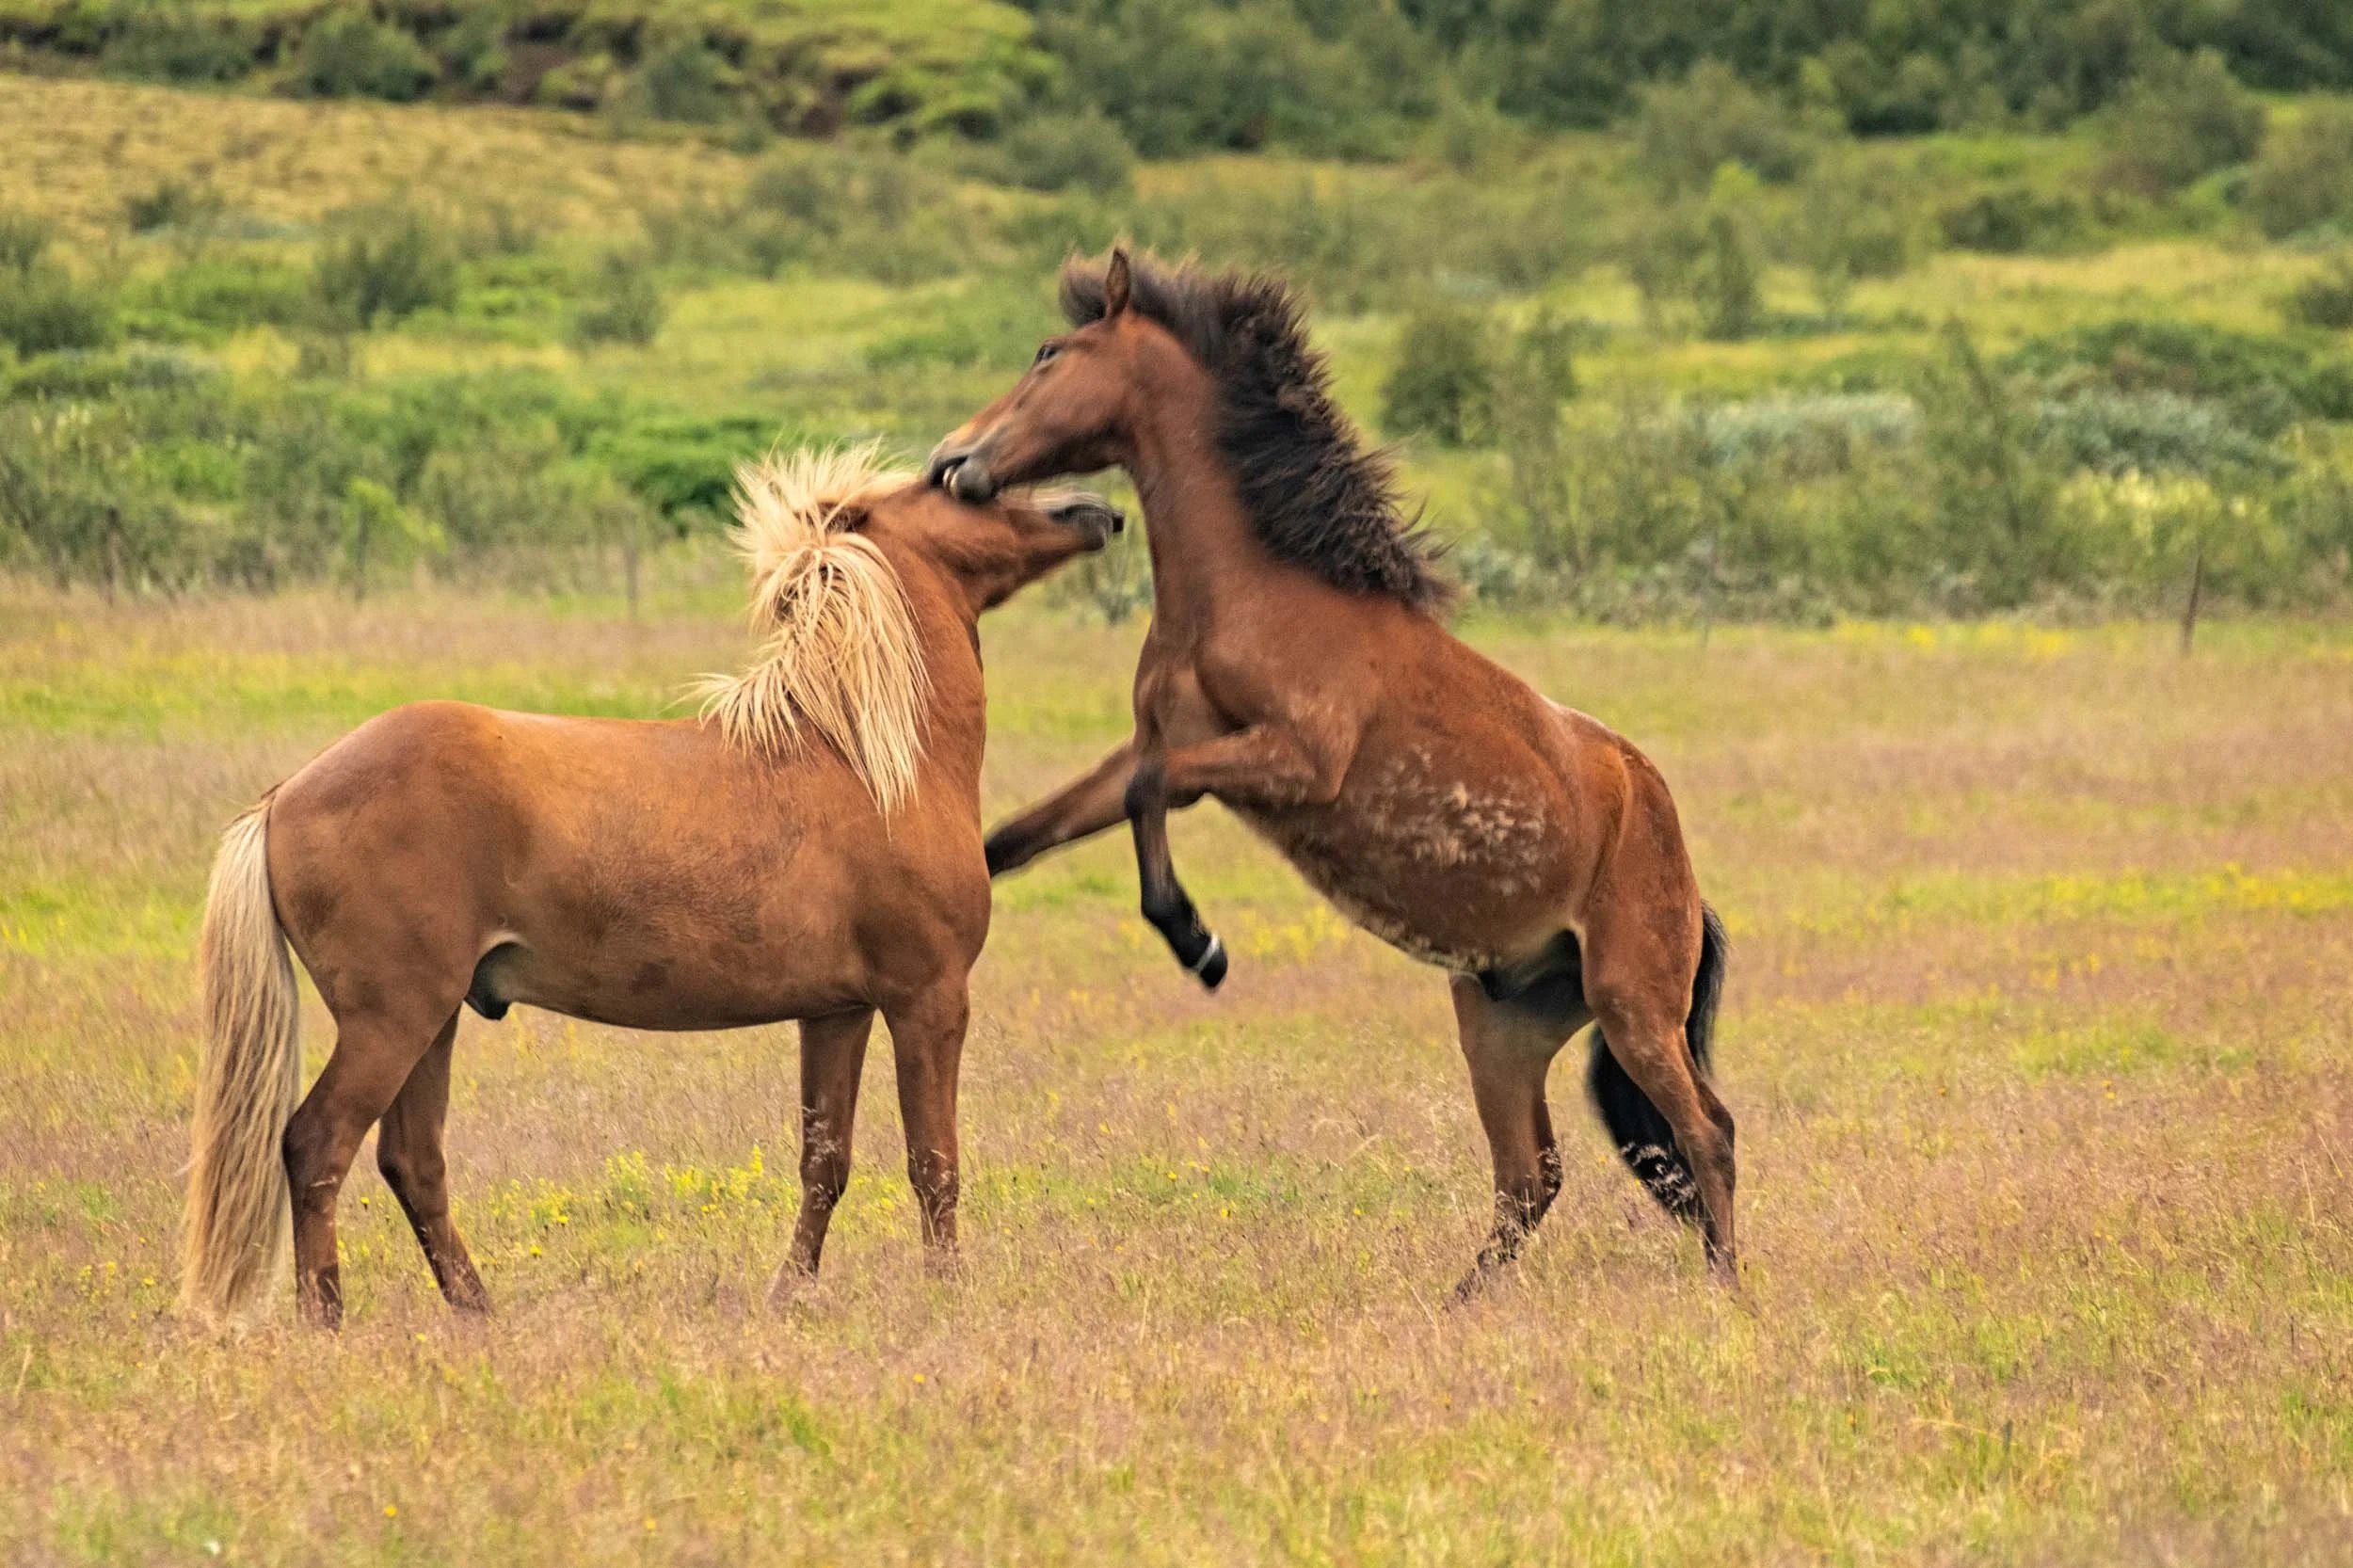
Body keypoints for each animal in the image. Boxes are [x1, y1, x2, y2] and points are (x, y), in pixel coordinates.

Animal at [180, 446, 1122, 1329]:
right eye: (951, 480)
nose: (1099, 511)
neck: (861, 752)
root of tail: (285, 797)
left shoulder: (838, 1012)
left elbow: (826, 1163)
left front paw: (787, 1295)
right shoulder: (928, 999)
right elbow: (935, 1164)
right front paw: (949, 1297)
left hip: (433, 1020)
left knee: (412, 1161)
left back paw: (479, 1314)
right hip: (393, 1020)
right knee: (318, 1146)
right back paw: (328, 1321)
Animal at [924, 250, 1736, 1296]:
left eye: (1049, 354)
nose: (952, 460)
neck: (1253, 598)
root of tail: (1686, 878)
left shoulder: (1291, 761)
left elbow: (1152, 795)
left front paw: (1199, 943)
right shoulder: (1157, 747)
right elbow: (1025, 834)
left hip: (1634, 1004)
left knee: (1705, 1134)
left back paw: (1727, 1291)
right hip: (1504, 1024)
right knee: (1532, 1174)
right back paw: (1459, 1305)